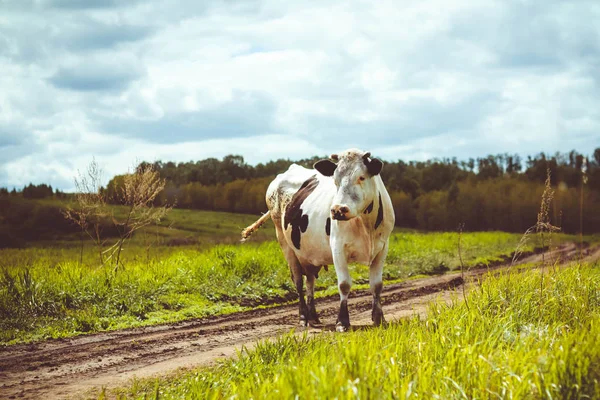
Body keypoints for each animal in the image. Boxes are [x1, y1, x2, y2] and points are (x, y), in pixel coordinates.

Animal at [241, 148, 396, 332]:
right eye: (335, 180)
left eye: (361, 177)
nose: (338, 210)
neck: (367, 225)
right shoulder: (337, 247)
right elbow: (344, 284)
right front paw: (342, 322)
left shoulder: (382, 248)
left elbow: (377, 285)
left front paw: (379, 318)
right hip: (285, 242)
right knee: (298, 281)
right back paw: (303, 316)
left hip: (308, 253)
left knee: (310, 281)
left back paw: (313, 316)